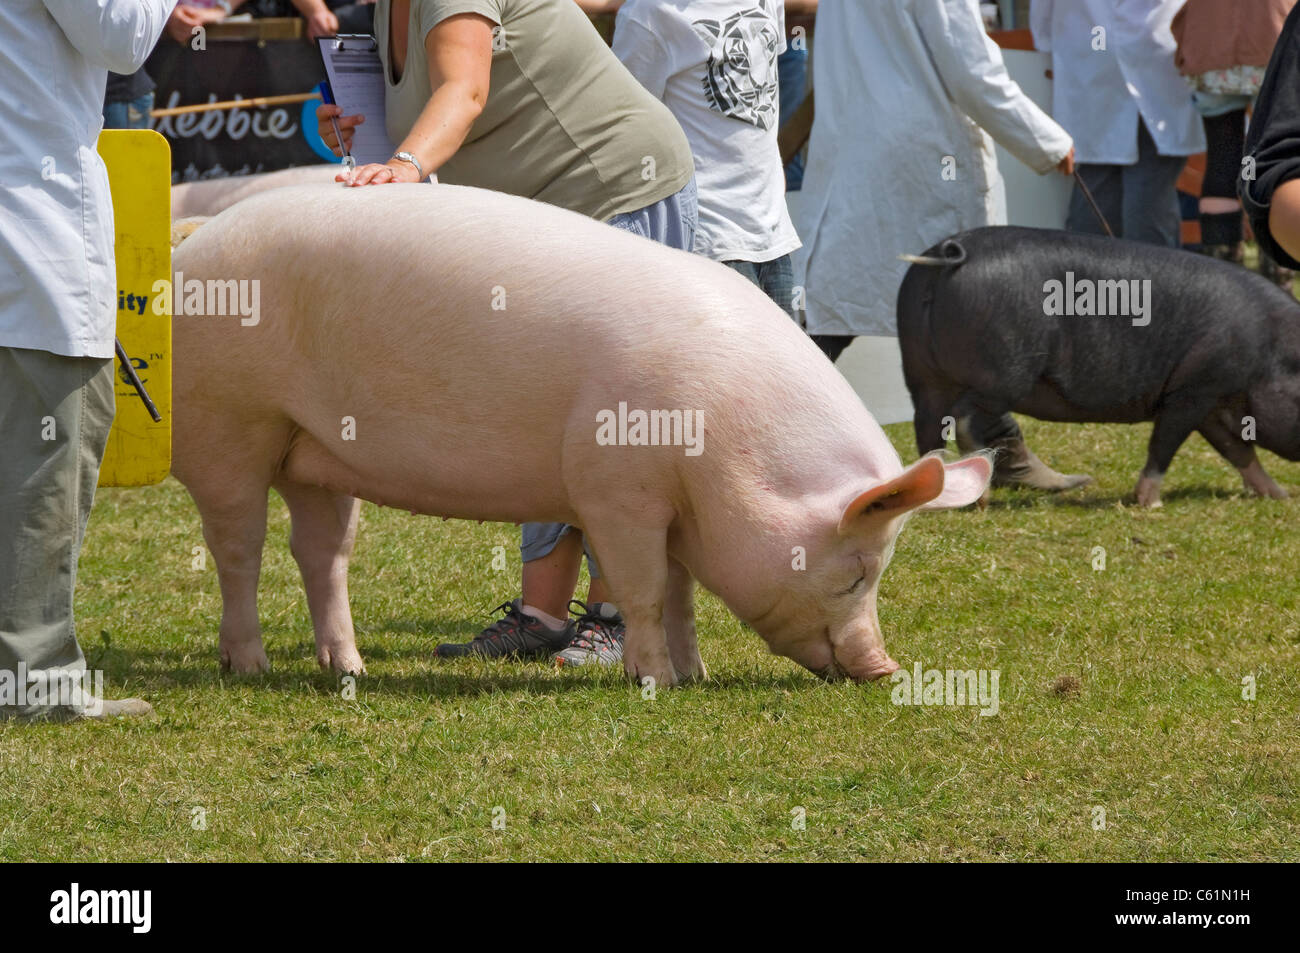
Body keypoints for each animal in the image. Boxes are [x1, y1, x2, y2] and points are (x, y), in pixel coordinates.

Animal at [170, 182, 991, 686]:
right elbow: (645, 589)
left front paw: (694, 675)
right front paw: (654, 680)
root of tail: (190, 251)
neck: (726, 445)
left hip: (312, 452)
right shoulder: (614, 489)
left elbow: (683, 591)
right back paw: (249, 666)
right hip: (227, 426)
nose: (884, 668)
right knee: (238, 548)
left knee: (322, 551)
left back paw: (349, 669)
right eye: (857, 573)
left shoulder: (677, 507)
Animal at [898, 226, 1300, 507]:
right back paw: (980, 498)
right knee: (966, 419)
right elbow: (1165, 443)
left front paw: (1277, 495)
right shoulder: (1194, 390)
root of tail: (951, 253)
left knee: (928, 426)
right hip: (1003, 372)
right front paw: (1151, 504)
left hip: (922, 374)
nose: (1291, 495)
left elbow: (1238, 451)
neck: (1268, 353)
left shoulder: (1210, 400)